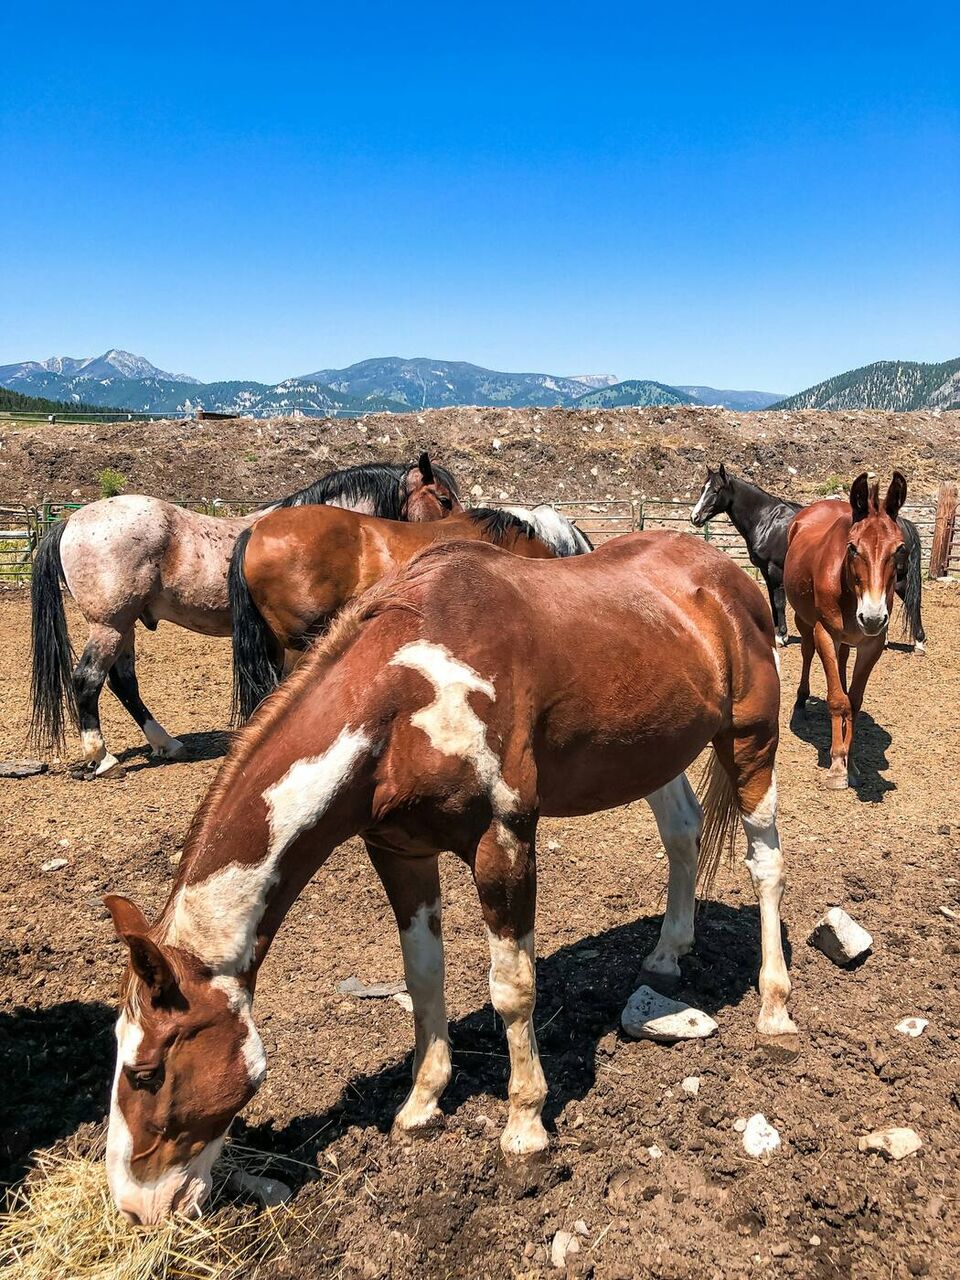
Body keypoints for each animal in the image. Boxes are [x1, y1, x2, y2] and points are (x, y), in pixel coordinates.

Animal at [29, 455, 461, 777]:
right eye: (443, 499)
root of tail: (71, 520)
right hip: (110, 625)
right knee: (88, 680)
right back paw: (102, 758)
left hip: (125, 626)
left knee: (124, 683)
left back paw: (166, 744)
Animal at [102, 531, 796, 1224]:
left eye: (146, 1072)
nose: (134, 1206)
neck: (406, 701)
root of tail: (724, 573)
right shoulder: (398, 852)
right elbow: (422, 974)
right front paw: (422, 1104)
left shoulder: (503, 843)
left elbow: (513, 988)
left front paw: (524, 1128)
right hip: (656, 752)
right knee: (681, 833)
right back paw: (667, 954)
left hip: (750, 741)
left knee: (766, 864)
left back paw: (775, 1009)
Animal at [690, 464, 926, 651]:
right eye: (703, 488)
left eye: (716, 490)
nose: (695, 517)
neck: (766, 519)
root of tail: (902, 523)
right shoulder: (767, 573)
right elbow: (773, 602)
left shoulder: (775, 571)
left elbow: (779, 602)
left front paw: (781, 636)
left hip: (899, 578)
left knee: (912, 602)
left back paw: (918, 642)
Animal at [784, 471, 907, 790]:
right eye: (852, 547)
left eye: (899, 548)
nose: (873, 617)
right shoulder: (825, 633)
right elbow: (838, 700)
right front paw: (838, 765)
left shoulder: (871, 644)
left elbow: (854, 700)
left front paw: (851, 761)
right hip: (804, 622)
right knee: (807, 653)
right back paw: (801, 704)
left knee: (840, 663)